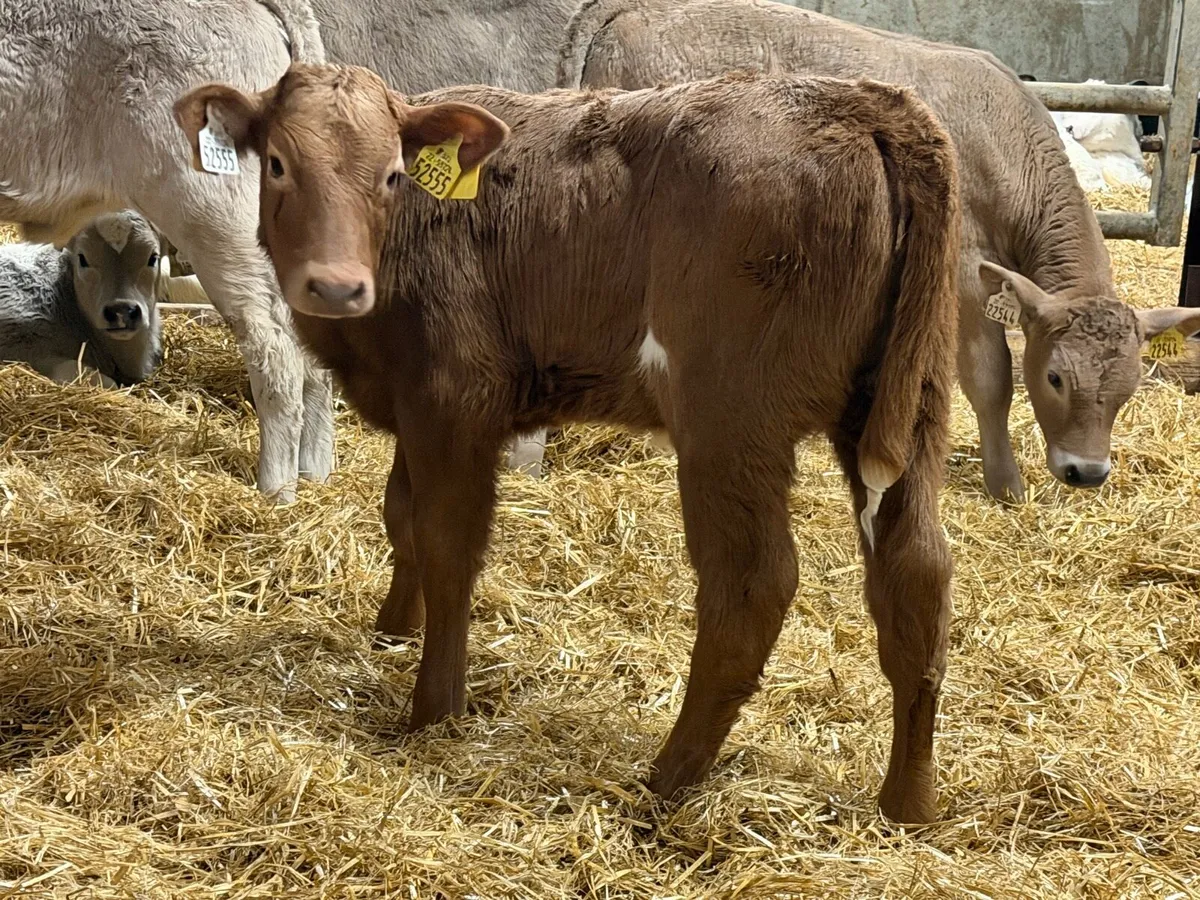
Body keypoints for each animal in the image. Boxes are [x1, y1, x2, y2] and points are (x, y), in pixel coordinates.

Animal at [175, 62, 961, 823]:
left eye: (393, 175)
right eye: (279, 163)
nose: (336, 287)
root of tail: (867, 100)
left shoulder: (455, 399)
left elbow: (447, 545)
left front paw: (434, 709)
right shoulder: (415, 402)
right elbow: (400, 517)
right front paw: (393, 629)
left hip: (730, 420)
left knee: (752, 585)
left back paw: (666, 780)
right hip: (907, 409)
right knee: (915, 575)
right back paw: (908, 803)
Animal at [550, 0, 1200, 502]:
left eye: (1130, 386)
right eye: (1056, 377)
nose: (1086, 472)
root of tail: (628, 11)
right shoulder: (965, 263)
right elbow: (988, 375)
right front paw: (1005, 482)